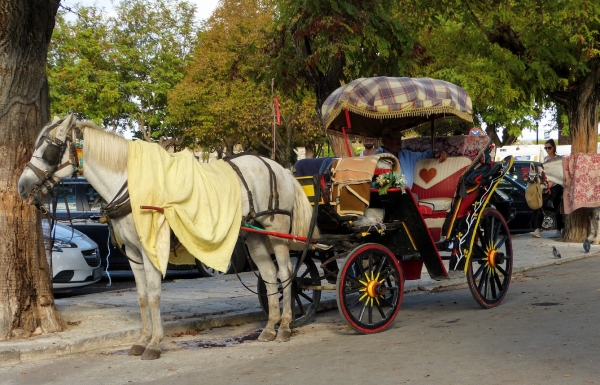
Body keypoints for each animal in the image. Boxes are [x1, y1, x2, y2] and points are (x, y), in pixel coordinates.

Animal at [17, 115, 318, 358]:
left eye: (49, 148)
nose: (22, 186)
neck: (131, 185)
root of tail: (278, 167)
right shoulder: (134, 254)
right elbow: (141, 296)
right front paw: (142, 340)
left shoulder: (152, 247)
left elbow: (153, 296)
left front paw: (154, 343)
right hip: (254, 235)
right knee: (268, 274)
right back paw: (270, 326)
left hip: (277, 229)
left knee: (285, 273)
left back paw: (286, 325)